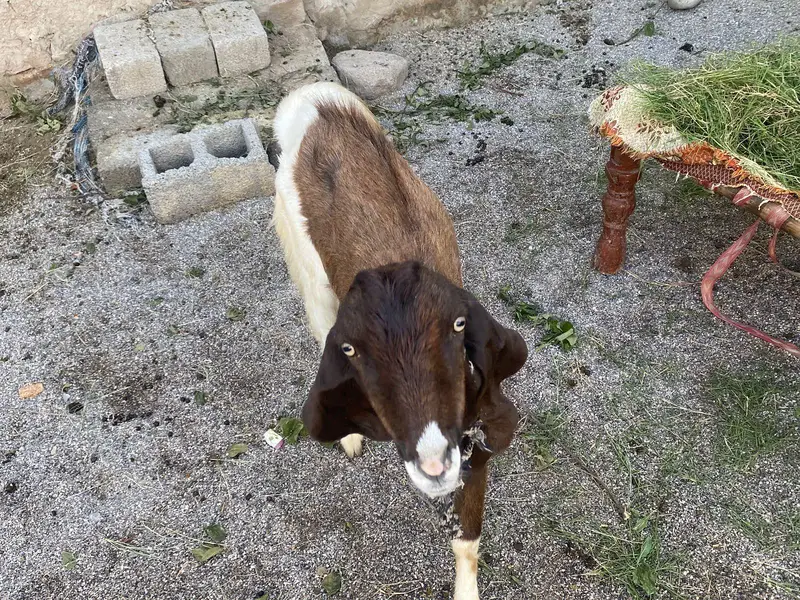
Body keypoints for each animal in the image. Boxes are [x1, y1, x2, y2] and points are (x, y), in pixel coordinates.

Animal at [272, 82, 528, 600]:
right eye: (353, 351)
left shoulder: (476, 437)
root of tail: (314, 97)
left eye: (458, 328)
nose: (432, 465)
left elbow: (467, 538)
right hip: (309, 272)